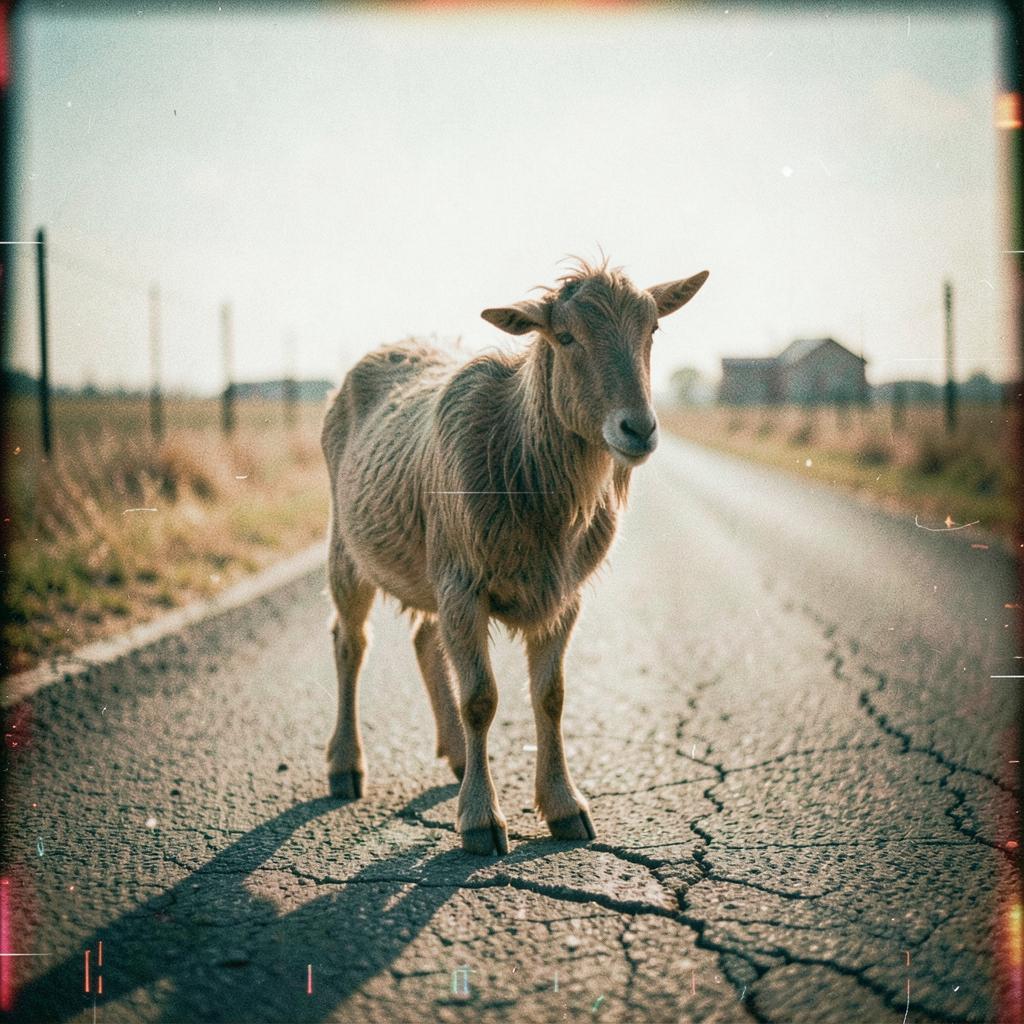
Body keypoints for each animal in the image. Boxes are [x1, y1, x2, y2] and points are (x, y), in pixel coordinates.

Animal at [321, 258, 709, 855]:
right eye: (565, 336)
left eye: (653, 330)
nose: (639, 429)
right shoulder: (465, 584)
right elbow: (481, 699)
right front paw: (481, 820)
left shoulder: (561, 595)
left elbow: (550, 696)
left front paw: (565, 806)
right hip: (348, 546)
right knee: (351, 643)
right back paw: (346, 766)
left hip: (435, 568)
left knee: (426, 641)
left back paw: (458, 758)